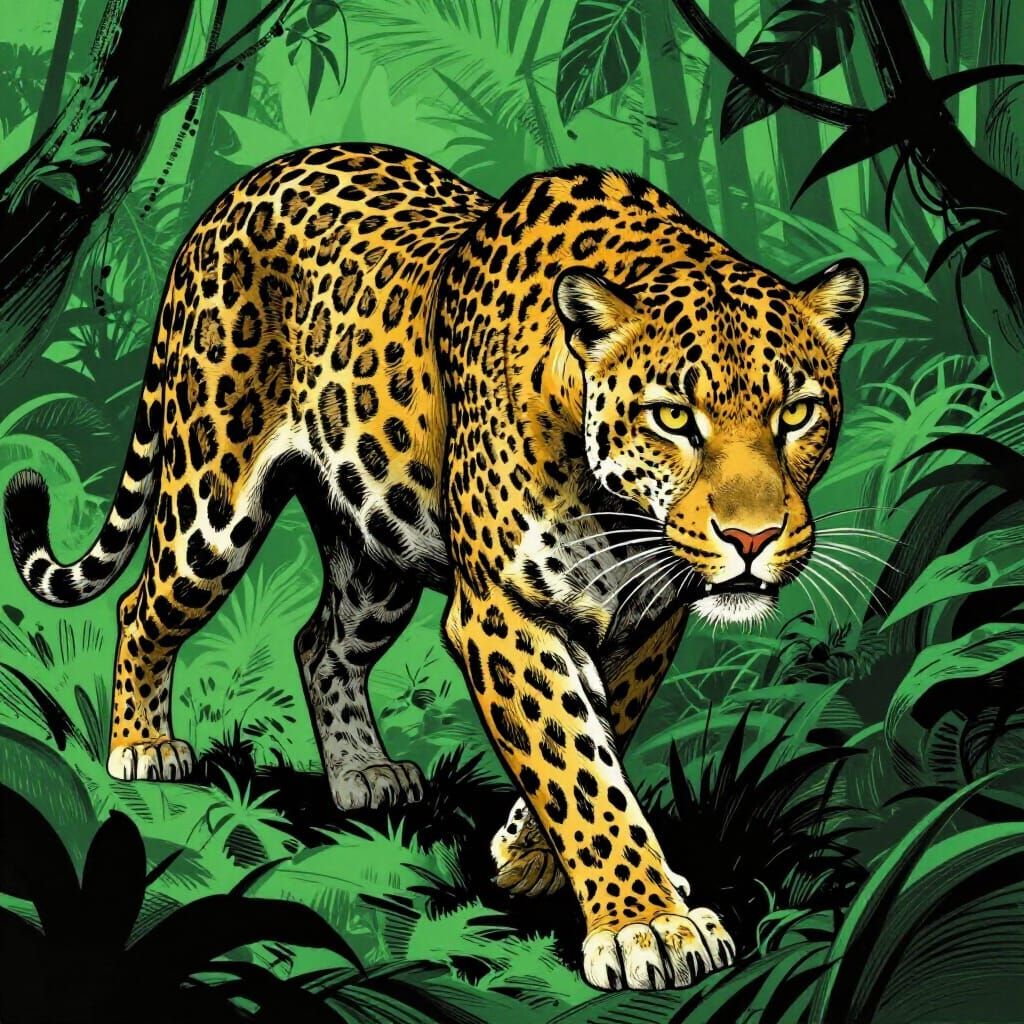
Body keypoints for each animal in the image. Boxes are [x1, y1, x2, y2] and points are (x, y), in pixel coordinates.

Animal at [3, 142, 866, 991]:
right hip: (211, 506)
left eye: (797, 414)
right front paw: (646, 923)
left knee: (320, 644)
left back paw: (362, 774)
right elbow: (575, 764)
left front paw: (531, 858)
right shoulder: (501, 612)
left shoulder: (647, 621)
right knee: (140, 606)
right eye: (674, 418)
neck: (620, 514)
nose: (752, 537)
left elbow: (602, 732)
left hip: (374, 553)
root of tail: (233, 195)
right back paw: (142, 746)